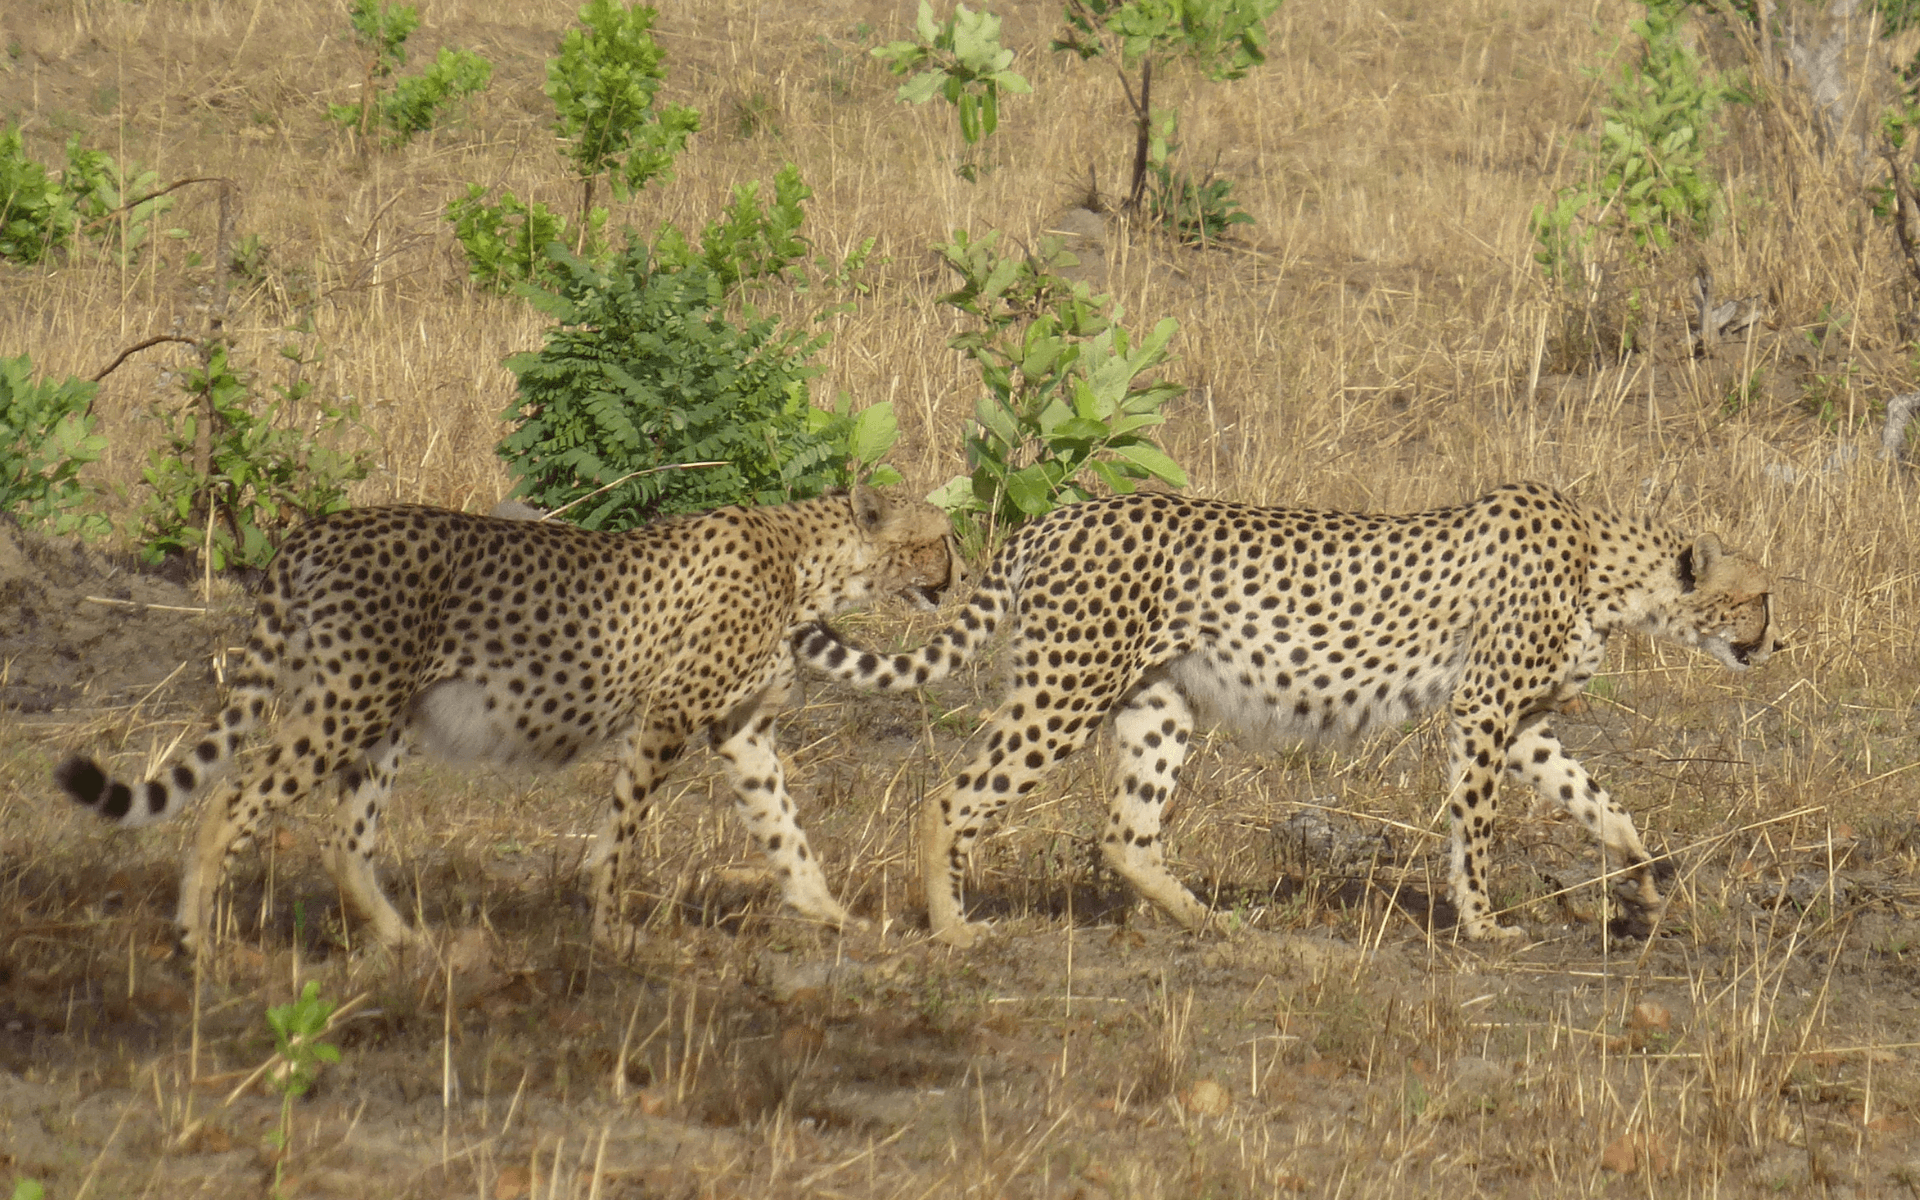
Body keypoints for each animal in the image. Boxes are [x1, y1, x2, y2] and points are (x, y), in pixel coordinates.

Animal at [56, 487, 957, 956]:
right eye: (938, 539)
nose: (957, 574)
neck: (811, 561)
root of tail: (320, 526)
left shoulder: (739, 730)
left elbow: (784, 828)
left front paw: (830, 912)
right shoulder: (668, 715)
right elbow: (622, 831)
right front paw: (608, 928)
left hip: (382, 717)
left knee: (346, 837)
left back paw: (407, 942)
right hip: (349, 703)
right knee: (237, 796)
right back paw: (197, 936)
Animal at [794, 482, 1775, 948]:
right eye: (1757, 595)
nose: (1774, 640)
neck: (1613, 572)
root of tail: (1062, 515)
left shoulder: (1524, 723)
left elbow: (1601, 801)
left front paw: (1643, 883)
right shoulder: (1486, 708)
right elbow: (1476, 827)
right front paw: (1483, 924)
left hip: (1157, 706)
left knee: (1125, 836)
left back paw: (1212, 926)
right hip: (1064, 692)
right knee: (949, 797)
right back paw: (954, 928)